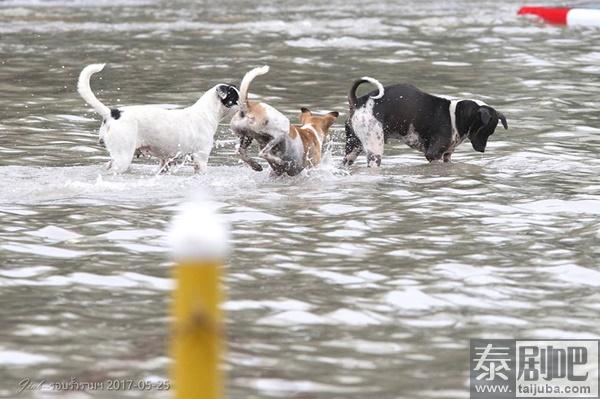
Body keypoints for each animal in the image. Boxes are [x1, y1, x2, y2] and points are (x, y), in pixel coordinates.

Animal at [77, 64, 239, 173]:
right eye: (236, 99)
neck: (206, 113)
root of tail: (113, 113)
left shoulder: (165, 161)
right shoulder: (201, 159)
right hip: (122, 157)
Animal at [342, 77, 506, 166]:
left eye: (490, 132)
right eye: (485, 130)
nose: (482, 150)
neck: (454, 116)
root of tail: (358, 102)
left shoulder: (447, 156)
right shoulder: (433, 155)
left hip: (352, 150)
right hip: (374, 151)